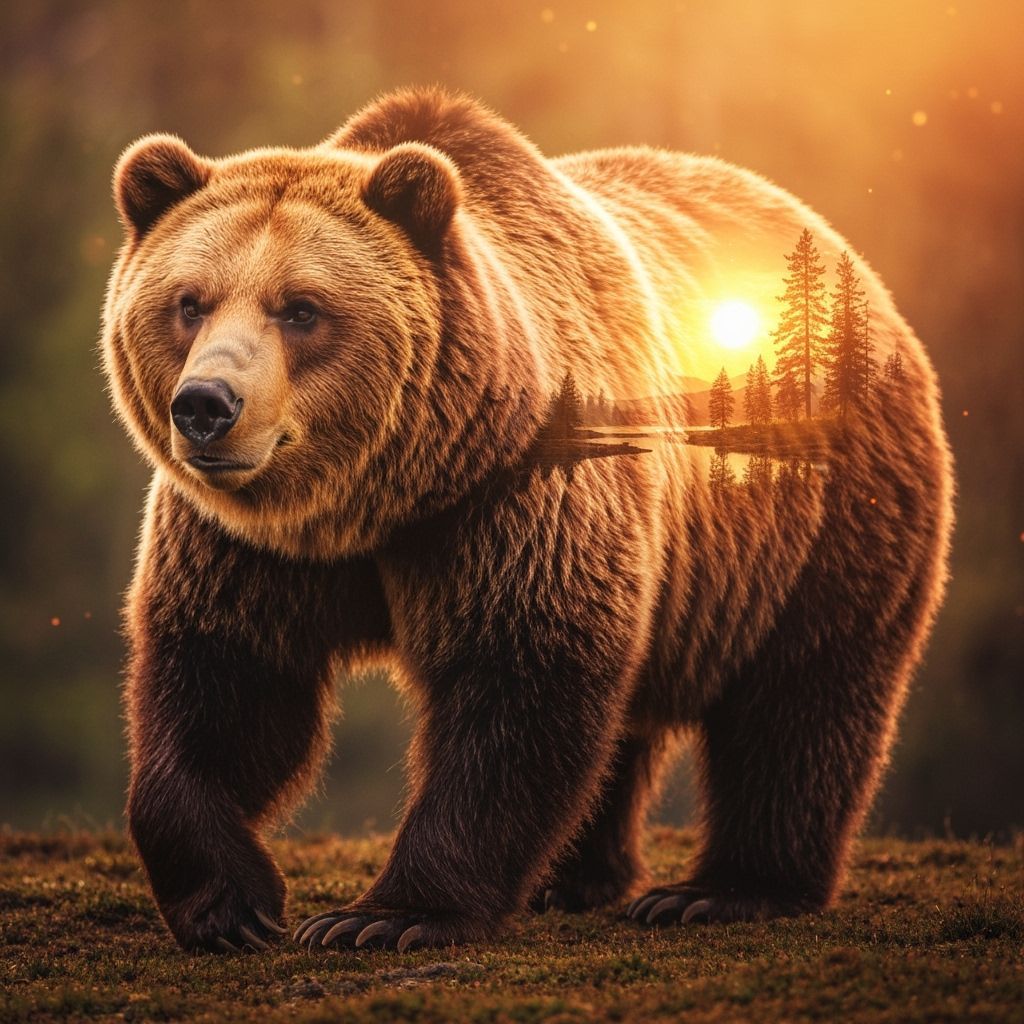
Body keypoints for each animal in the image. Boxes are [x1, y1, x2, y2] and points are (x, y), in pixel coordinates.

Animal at [101, 87, 952, 954]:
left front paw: (383, 916)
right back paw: (576, 879)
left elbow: (520, 682)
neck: (377, 504)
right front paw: (230, 906)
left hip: (820, 516)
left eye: (302, 309)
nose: (207, 406)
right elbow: (221, 687)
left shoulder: (515, 502)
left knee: (802, 696)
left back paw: (721, 890)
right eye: (189, 302)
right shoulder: (245, 546)